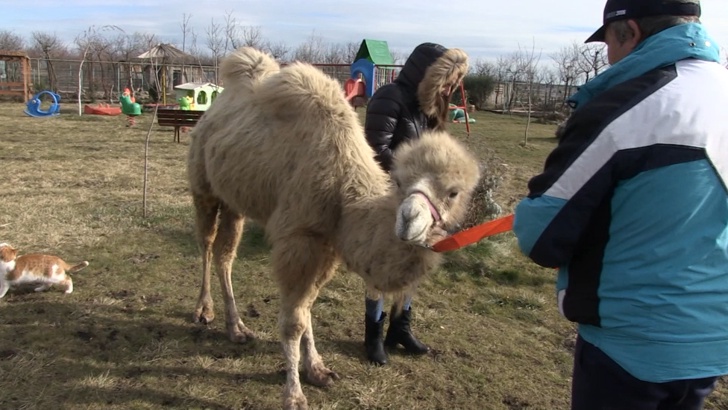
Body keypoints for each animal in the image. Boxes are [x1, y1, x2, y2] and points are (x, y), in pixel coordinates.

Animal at [188, 46, 480, 408]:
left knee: (225, 255)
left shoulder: (327, 243)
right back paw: (204, 311)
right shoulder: (300, 238)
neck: (343, 190)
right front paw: (294, 395)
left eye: (453, 193)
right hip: (203, 186)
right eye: (399, 182)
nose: (409, 219)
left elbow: (307, 308)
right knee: (206, 243)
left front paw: (317, 369)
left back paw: (237, 328)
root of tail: (214, 109)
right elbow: (294, 320)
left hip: (234, 200)